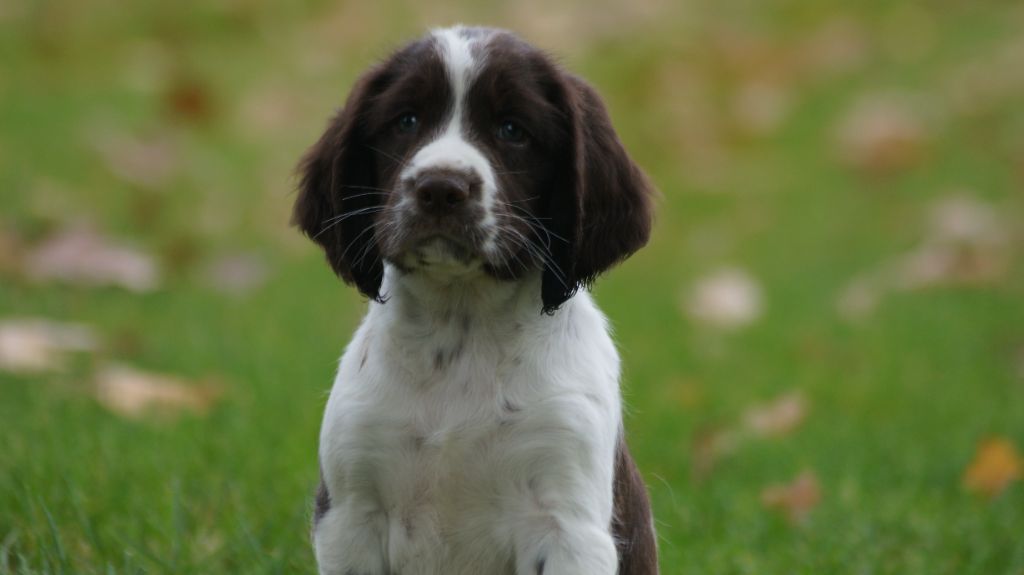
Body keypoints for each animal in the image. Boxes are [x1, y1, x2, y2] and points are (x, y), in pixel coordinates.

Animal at [294, 24, 663, 568]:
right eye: (406, 121)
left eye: (512, 129)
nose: (440, 188)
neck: (461, 325)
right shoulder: (351, 514)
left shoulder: (568, 522)